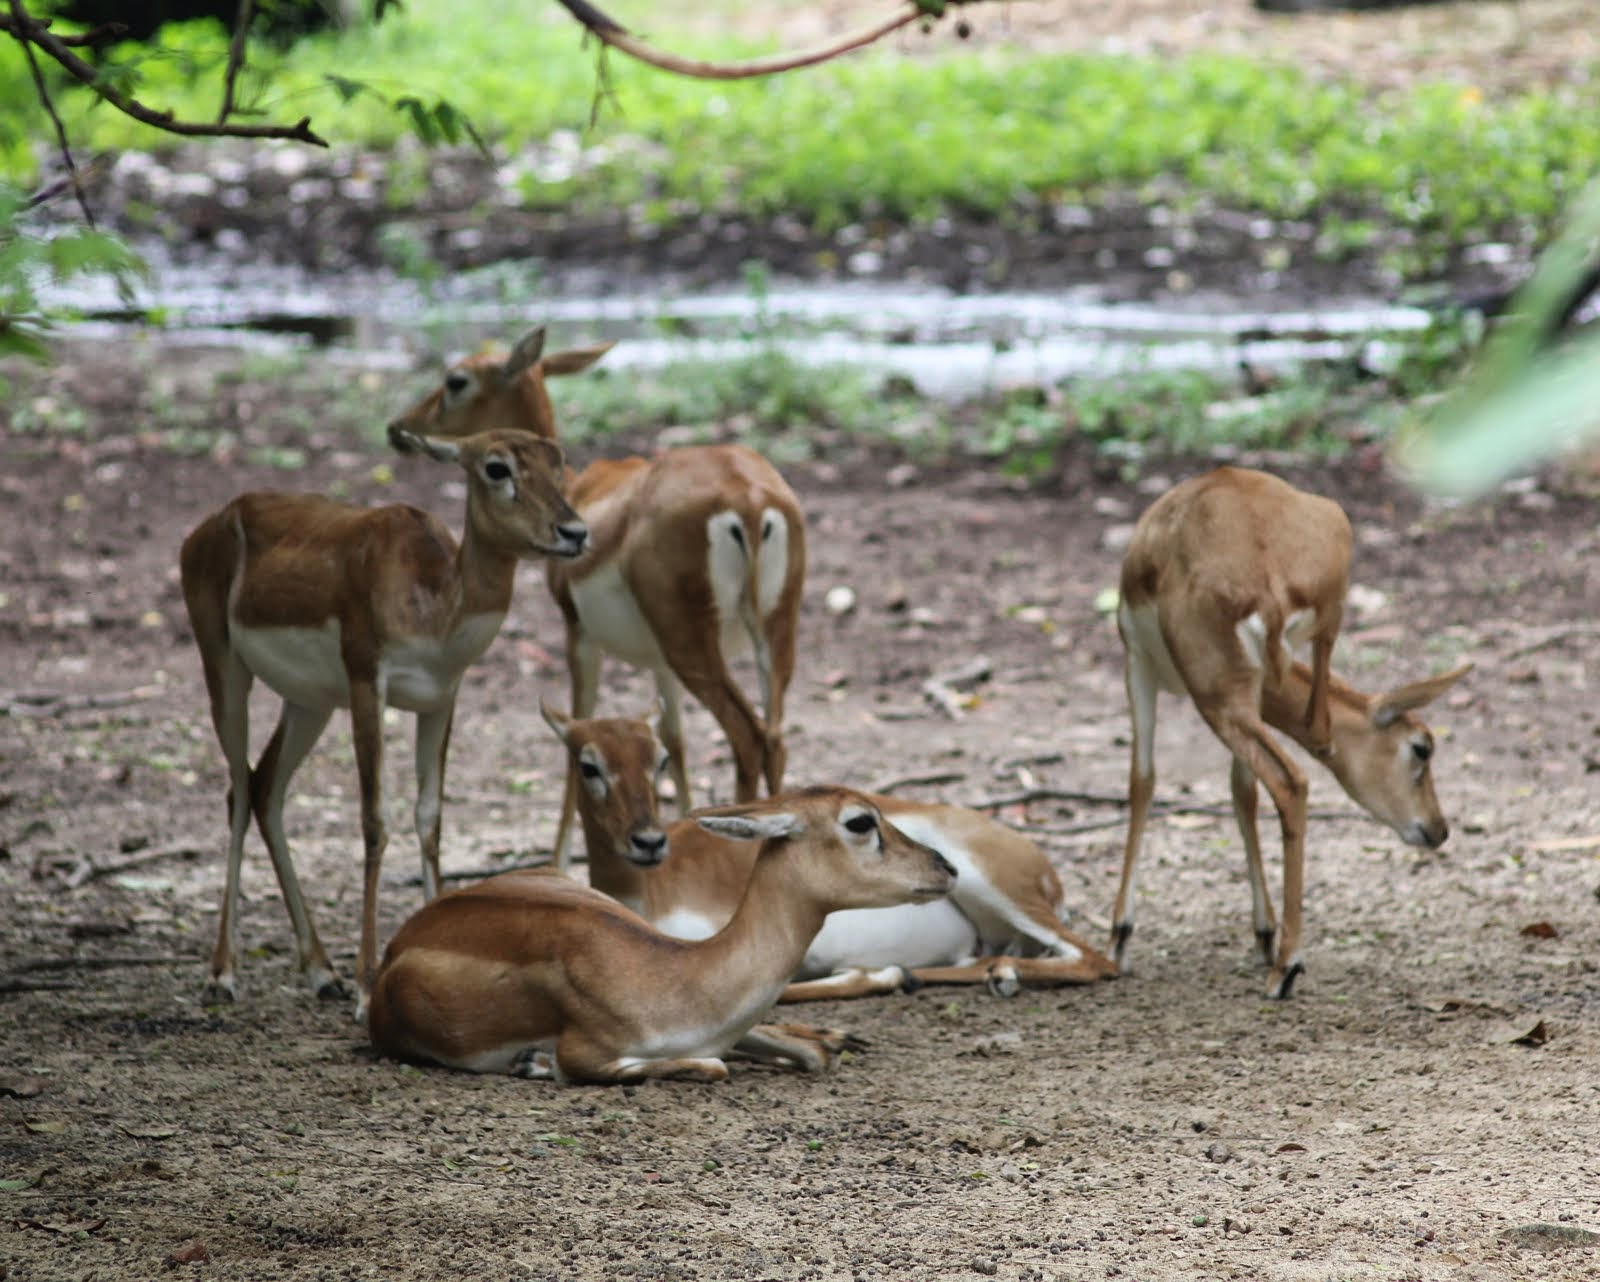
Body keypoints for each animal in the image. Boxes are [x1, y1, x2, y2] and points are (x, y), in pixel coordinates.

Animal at [178, 425, 588, 1017]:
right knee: (236, 787)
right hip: (225, 668)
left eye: (559, 461)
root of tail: (210, 523)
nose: (574, 531)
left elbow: (430, 818)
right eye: (496, 467)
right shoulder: (367, 684)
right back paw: (222, 974)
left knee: (264, 787)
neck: (434, 609)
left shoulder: (441, 700)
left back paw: (322, 972)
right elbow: (375, 822)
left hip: (310, 703)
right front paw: (369, 986)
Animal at [366, 790, 953, 1081]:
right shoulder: (587, 1054)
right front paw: (534, 1061)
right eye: (860, 822)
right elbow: (712, 1065)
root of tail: (397, 943)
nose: (945, 867)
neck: (675, 976)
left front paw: (825, 1040)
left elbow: (801, 1054)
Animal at [382, 324, 806, 877]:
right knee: (775, 738)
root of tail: (750, 499)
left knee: (749, 737)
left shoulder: (578, 634)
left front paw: (561, 861)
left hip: (694, 645)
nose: (399, 427)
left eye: (455, 380)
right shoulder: (658, 662)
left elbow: (575, 733)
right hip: (773, 635)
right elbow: (673, 741)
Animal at [537, 704, 1113, 992]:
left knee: (1094, 958)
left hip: (993, 885)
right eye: (587, 764)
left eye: (659, 760)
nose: (648, 841)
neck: (648, 896)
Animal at [1107, 464, 1465, 998]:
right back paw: (1283, 953)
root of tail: (1266, 577)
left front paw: (1119, 937)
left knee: (1291, 781)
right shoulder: (1253, 692)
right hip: (1309, 636)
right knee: (1309, 738)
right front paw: (1263, 931)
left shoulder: (1137, 663)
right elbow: (1241, 793)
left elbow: (1142, 782)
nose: (1438, 829)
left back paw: (1286, 968)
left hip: (1217, 700)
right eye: (1421, 748)